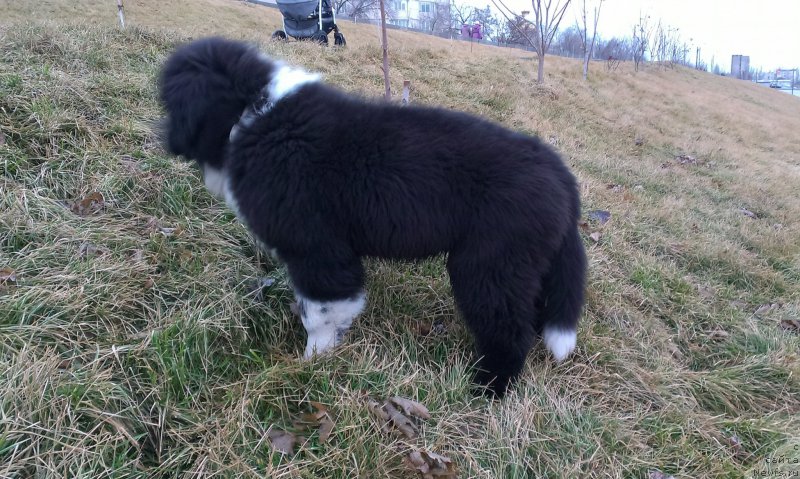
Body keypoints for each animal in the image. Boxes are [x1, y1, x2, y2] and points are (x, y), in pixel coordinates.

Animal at [158, 37, 588, 398]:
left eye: (169, 104)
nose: (164, 139)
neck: (254, 113)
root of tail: (562, 176)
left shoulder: (318, 250)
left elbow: (320, 314)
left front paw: (312, 364)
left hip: (488, 265)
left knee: (508, 329)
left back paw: (487, 388)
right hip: (525, 263)